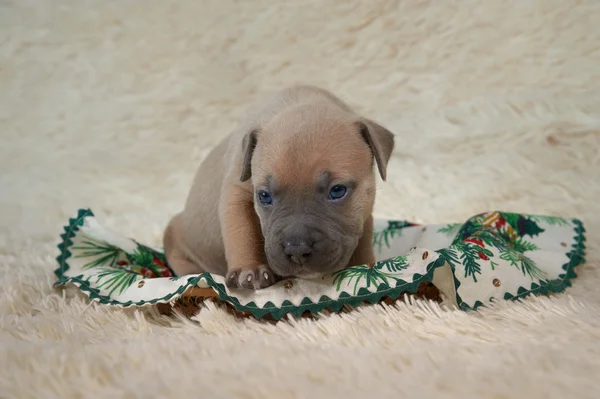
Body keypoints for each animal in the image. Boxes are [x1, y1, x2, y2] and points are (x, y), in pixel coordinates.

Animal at [164, 85, 396, 290]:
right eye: (264, 196)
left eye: (337, 191)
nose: (297, 250)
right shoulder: (236, 193)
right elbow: (242, 231)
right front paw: (250, 269)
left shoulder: (364, 213)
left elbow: (363, 241)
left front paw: (363, 266)